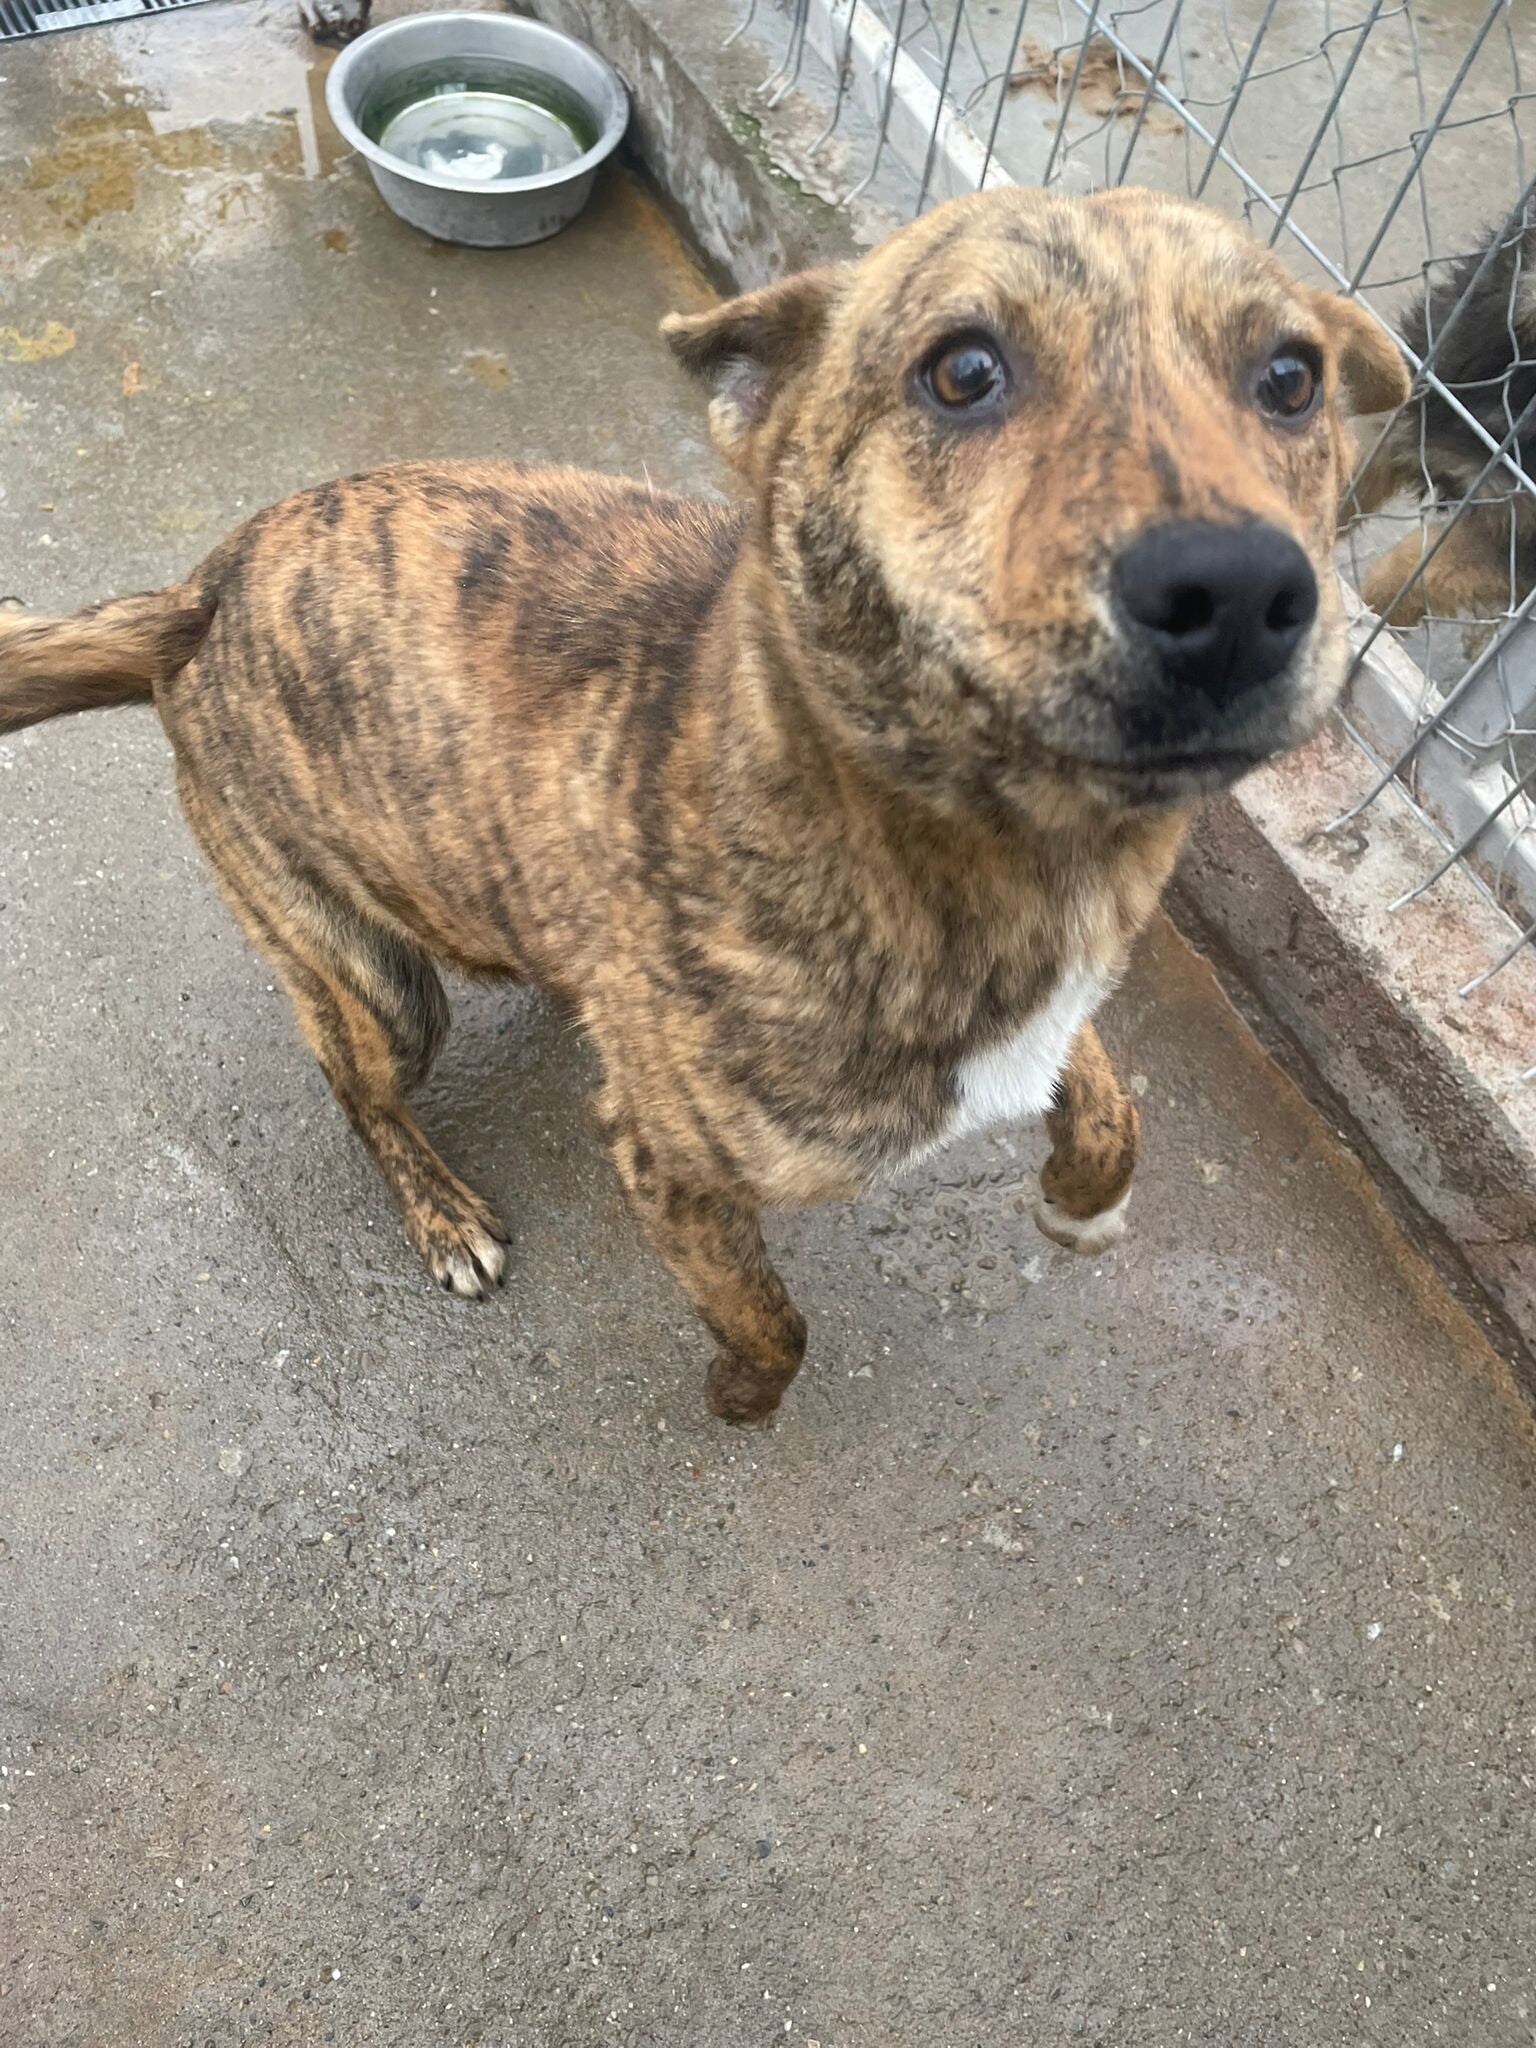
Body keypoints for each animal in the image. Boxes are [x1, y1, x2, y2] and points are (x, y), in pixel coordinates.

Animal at [0, 186, 1406, 1423]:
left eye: (1292, 379)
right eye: (963, 371)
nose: (1239, 589)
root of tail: (200, 590)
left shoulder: (1052, 1020)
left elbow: (1112, 1102)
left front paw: (1083, 1200)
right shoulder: (670, 1165)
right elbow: (771, 1320)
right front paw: (742, 1395)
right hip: (375, 984)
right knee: (359, 1089)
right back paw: (441, 1210)